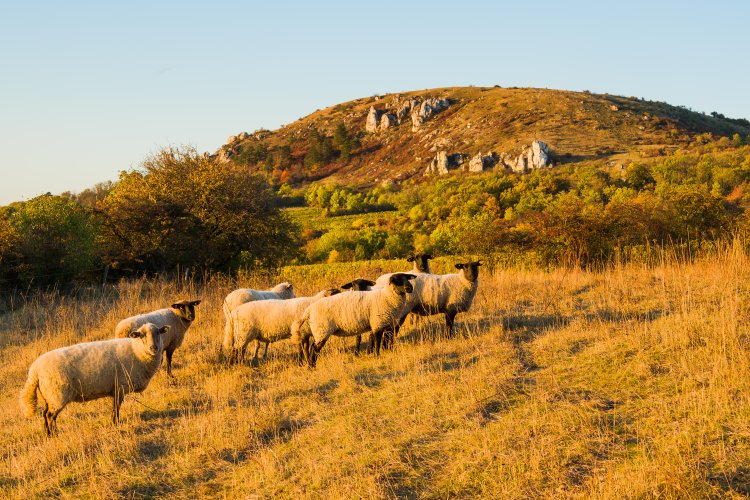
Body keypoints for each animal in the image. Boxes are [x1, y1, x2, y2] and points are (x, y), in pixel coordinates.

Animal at [19, 322, 170, 436]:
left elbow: (115, 407)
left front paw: (114, 421)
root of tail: (35, 370)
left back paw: (48, 433)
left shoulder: (116, 388)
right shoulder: (119, 387)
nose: (154, 348)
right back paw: (54, 434)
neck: (136, 351)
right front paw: (115, 422)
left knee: (45, 414)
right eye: (141, 335)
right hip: (57, 395)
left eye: (158, 333)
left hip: (48, 396)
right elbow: (116, 407)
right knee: (50, 416)